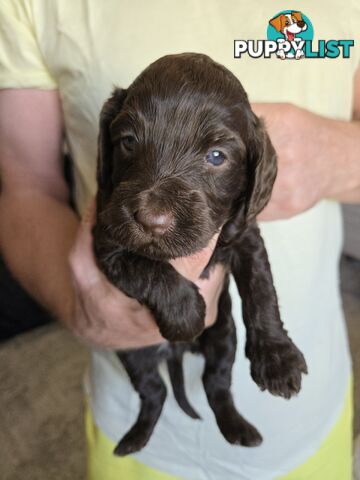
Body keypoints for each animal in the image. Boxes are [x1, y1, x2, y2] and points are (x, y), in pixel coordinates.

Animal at [93, 53, 306, 458]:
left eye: (217, 156)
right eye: (128, 141)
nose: (152, 220)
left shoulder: (244, 235)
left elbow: (261, 290)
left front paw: (278, 358)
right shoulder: (106, 240)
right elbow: (147, 268)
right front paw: (185, 313)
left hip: (223, 337)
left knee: (216, 386)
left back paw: (238, 429)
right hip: (133, 354)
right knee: (155, 392)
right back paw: (134, 438)